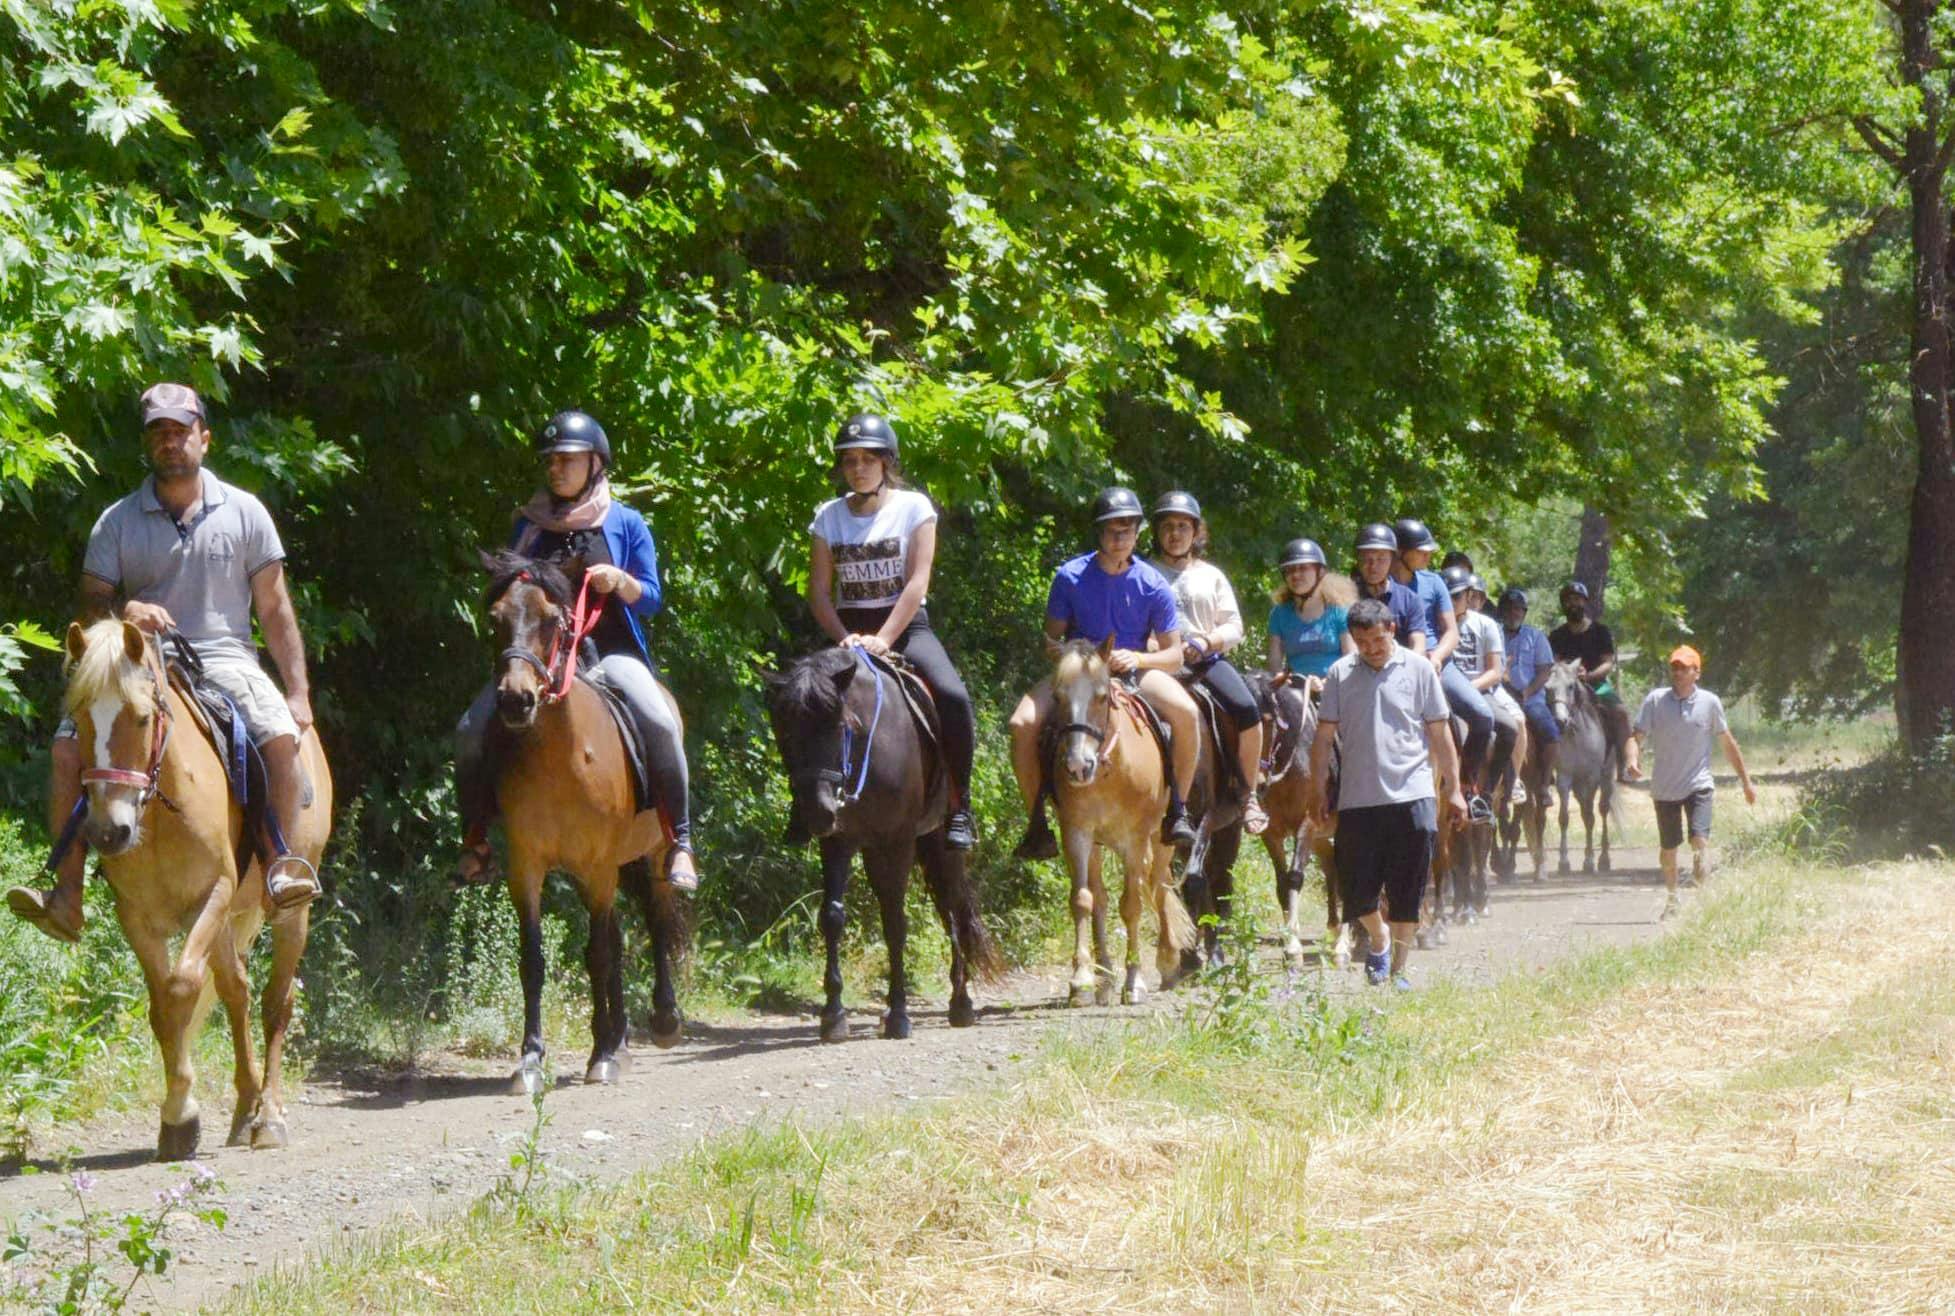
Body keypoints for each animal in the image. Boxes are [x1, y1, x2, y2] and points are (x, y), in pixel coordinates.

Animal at [60, 621, 328, 1157]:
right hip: (227, 926)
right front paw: (178, 1119)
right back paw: (245, 1112)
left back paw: (269, 1117)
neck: (164, 812)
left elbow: (183, 987)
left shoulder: (212, 896)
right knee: (237, 994)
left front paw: (183, 1111)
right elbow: (163, 1006)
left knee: (276, 1001)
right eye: (79, 719)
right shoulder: (137, 916)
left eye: (142, 718)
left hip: (289, 913)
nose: (109, 832)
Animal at [480, 547, 688, 1095]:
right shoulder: (528, 867)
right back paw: (622, 1039)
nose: (515, 699)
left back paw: (661, 1022)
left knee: (656, 919)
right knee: (617, 936)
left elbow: (597, 954)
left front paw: (602, 1056)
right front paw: (531, 1060)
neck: (563, 757)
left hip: (649, 854)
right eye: (496, 620)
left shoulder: (599, 867)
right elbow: (533, 959)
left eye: (553, 621)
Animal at [766, 645, 1008, 1040]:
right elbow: (832, 916)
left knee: (953, 906)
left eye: (840, 728)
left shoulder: (897, 842)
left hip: (938, 842)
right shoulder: (839, 842)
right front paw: (833, 1014)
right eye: (785, 732)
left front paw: (898, 1014)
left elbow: (895, 923)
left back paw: (961, 1003)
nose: (817, 812)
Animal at [1047, 641, 1196, 1001]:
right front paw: (1081, 979)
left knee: (1158, 887)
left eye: (1102, 697)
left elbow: (1131, 905)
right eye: (1057, 696)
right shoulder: (1076, 833)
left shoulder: (1135, 838)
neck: (1109, 771)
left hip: (1159, 839)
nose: (1078, 766)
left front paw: (1135, 980)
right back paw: (1104, 978)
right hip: (1099, 845)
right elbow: (1082, 900)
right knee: (1100, 898)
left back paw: (1167, 961)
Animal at [1540, 660, 1618, 876]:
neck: (1576, 737)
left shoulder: (1592, 778)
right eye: (1547, 688)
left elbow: (1590, 817)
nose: (1560, 721)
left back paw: (1604, 859)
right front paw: (1564, 862)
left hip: (1606, 779)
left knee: (1602, 810)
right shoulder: (1564, 778)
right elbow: (1564, 817)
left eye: (1570, 686)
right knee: (1584, 809)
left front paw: (1590, 862)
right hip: (1578, 785)